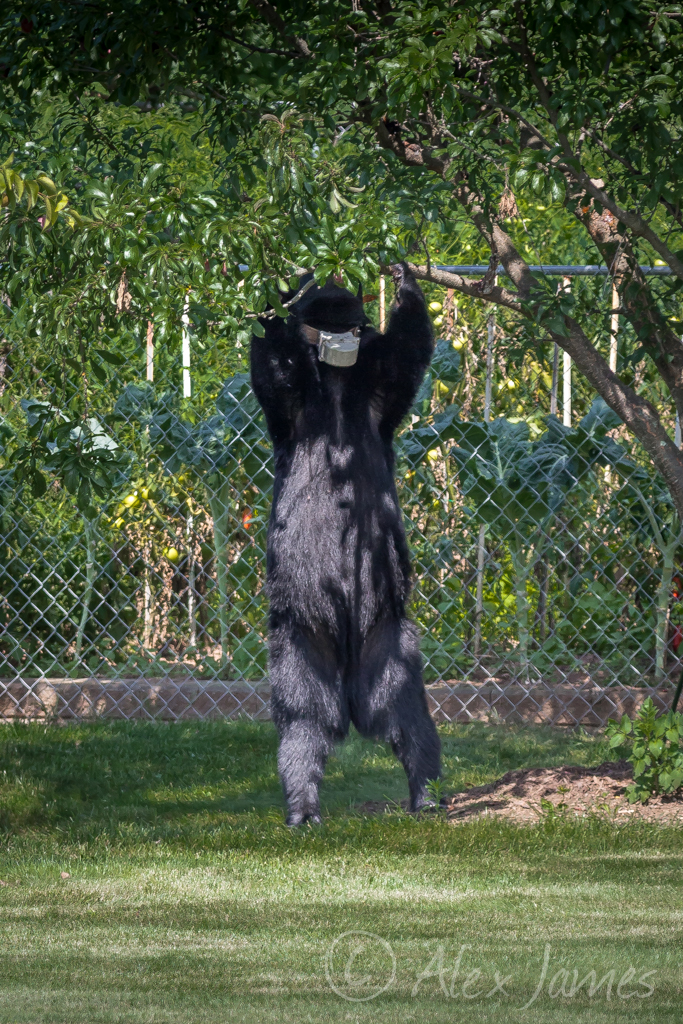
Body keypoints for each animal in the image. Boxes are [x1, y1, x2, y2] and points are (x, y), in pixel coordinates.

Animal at [250, 264, 444, 823]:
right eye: (325, 315)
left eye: (350, 316)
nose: (343, 327)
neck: (336, 383)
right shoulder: (292, 408)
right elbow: (275, 374)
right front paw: (278, 292)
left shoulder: (377, 391)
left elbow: (406, 357)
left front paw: (404, 279)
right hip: (302, 625)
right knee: (305, 713)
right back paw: (302, 805)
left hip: (388, 628)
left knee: (405, 707)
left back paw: (425, 792)